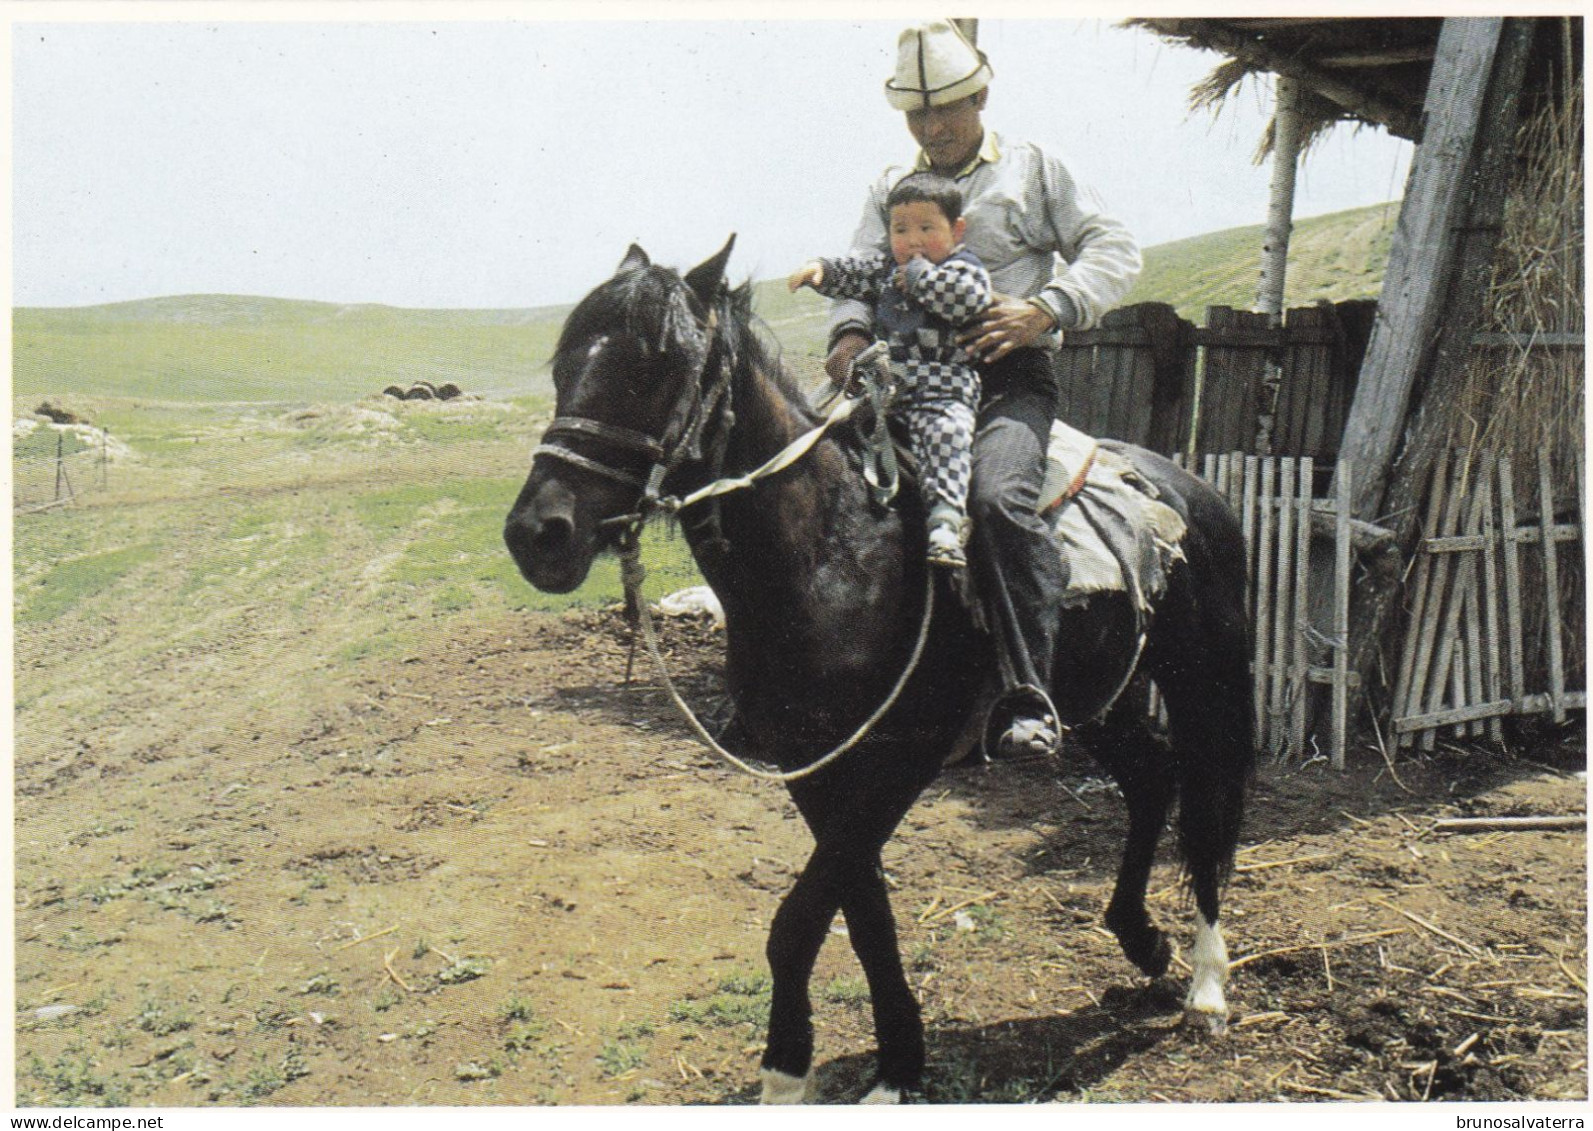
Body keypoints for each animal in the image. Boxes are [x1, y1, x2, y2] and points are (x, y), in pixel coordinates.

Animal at [500, 242, 1255, 1108]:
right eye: (565, 365)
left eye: (656, 366)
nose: (537, 533)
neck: (832, 555)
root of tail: (1190, 490)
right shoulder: (813, 765)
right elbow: (862, 913)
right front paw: (896, 1061)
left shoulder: (901, 758)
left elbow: (798, 919)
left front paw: (786, 1068)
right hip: (1101, 696)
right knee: (1150, 779)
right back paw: (1143, 943)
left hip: (1204, 683)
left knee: (1205, 815)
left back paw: (1205, 986)